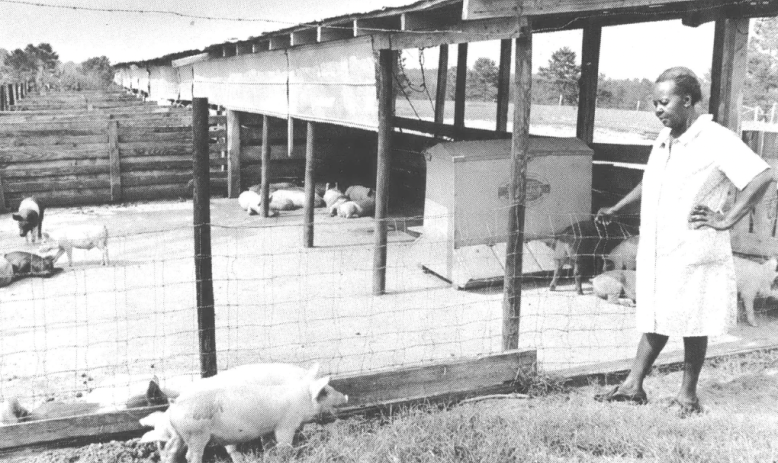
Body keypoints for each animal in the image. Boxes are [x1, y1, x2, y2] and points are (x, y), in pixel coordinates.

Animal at [165, 362, 348, 463]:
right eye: (326, 392)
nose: (346, 396)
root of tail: (177, 401)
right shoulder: (286, 425)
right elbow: (284, 444)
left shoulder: (268, 429)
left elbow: (267, 444)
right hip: (196, 434)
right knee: (192, 456)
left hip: (180, 435)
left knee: (170, 451)